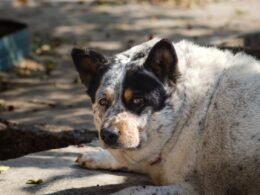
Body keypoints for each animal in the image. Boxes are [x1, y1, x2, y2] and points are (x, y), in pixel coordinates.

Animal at [71, 38, 260, 195]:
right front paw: (96, 156)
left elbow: (131, 190)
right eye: (103, 101)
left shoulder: (190, 189)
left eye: (137, 100)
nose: (108, 134)